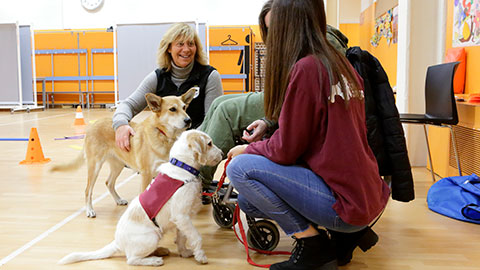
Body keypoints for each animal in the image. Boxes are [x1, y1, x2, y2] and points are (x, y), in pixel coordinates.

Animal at [51, 89, 197, 218]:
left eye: (184, 107)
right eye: (172, 109)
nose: (189, 120)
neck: (164, 136)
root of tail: (93, 125)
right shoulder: (146, 174)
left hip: (118, 165)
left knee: (109, 183)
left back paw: (118, 200)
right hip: (95, 167)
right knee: (88, 190)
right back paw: (89, 210)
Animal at [58, 130, 223, 266]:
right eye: (209, 143)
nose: (222, 153)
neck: (182, 167)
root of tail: (118, 242)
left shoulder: (182, 219)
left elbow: (182, 237)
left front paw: (185, 252)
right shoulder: (182, 216)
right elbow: (196, 236)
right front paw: (201, 256)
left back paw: (161, 251)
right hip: (152, 236)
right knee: (131, 259)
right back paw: (154, 260)